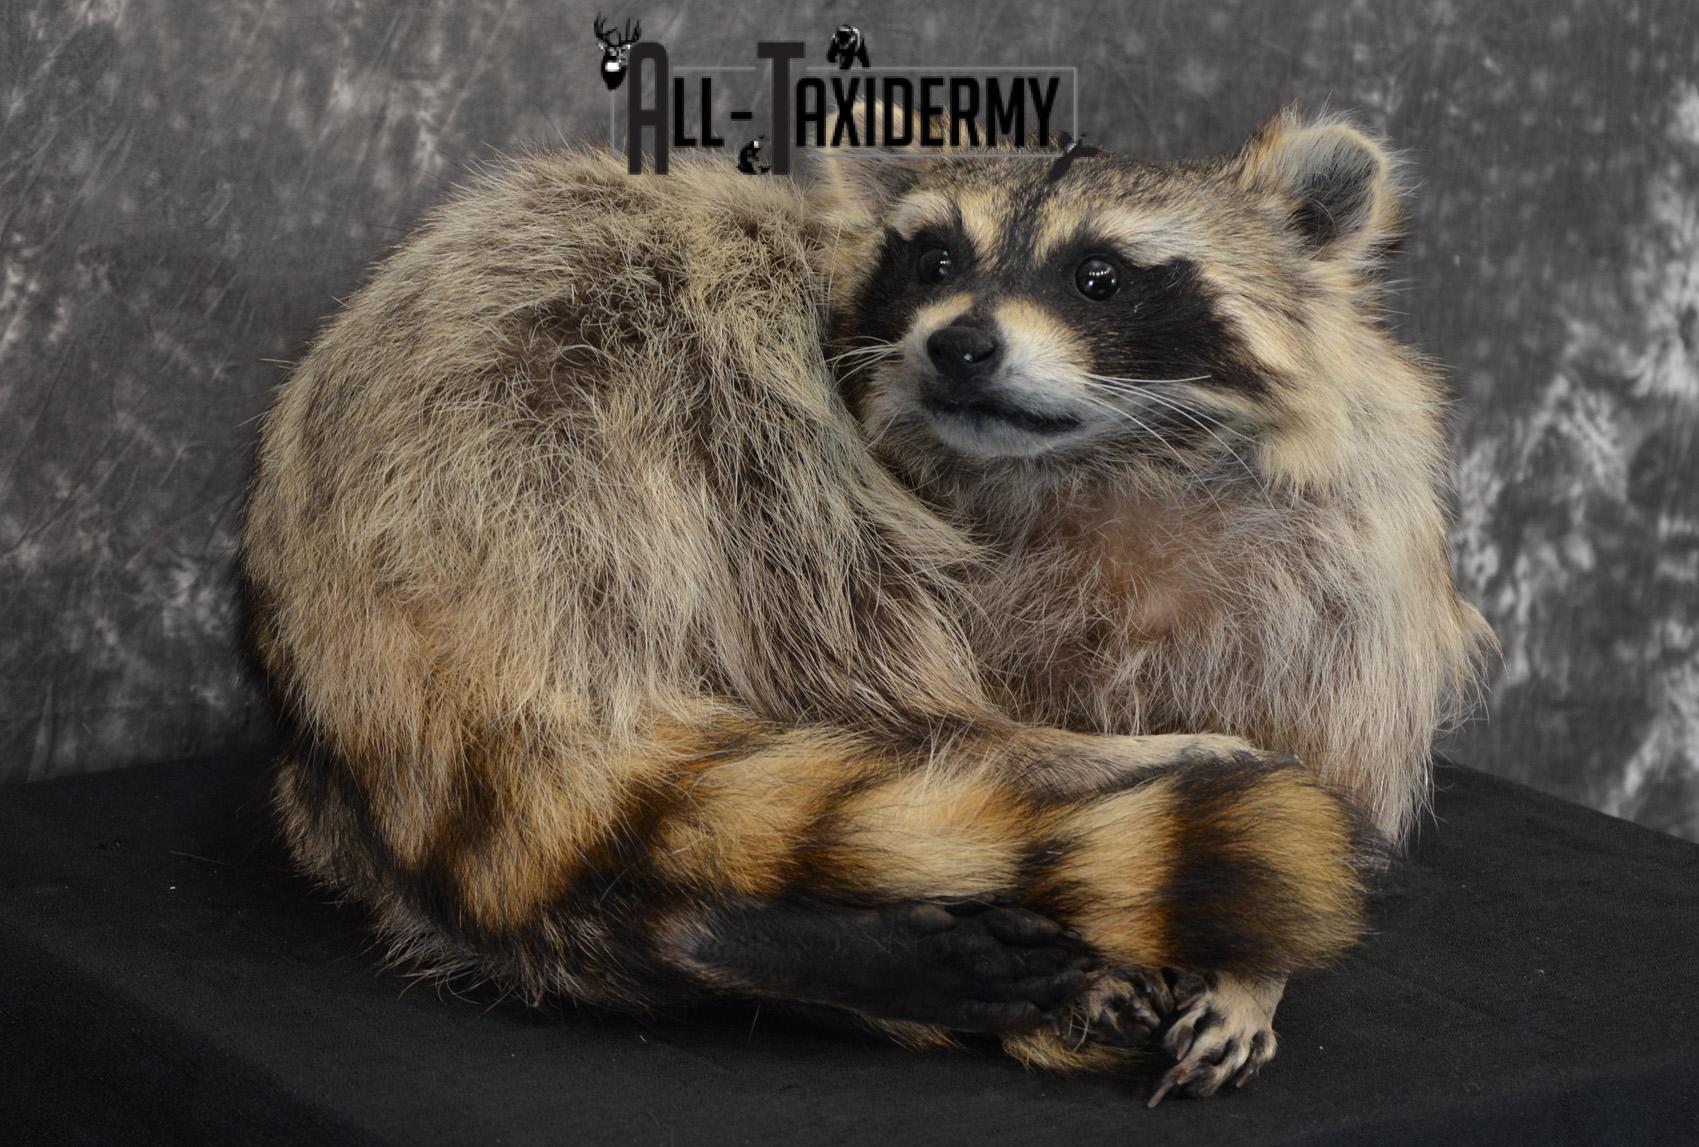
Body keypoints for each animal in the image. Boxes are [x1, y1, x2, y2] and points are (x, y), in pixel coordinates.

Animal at [241, 110, 1466, 1103]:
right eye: (936, 257)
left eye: (1100, 277)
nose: (960, 344)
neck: (1093, 464)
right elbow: (873, 669)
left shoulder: (1339, 547)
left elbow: (1340, 743)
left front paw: (1255, 969)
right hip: (543, 402)